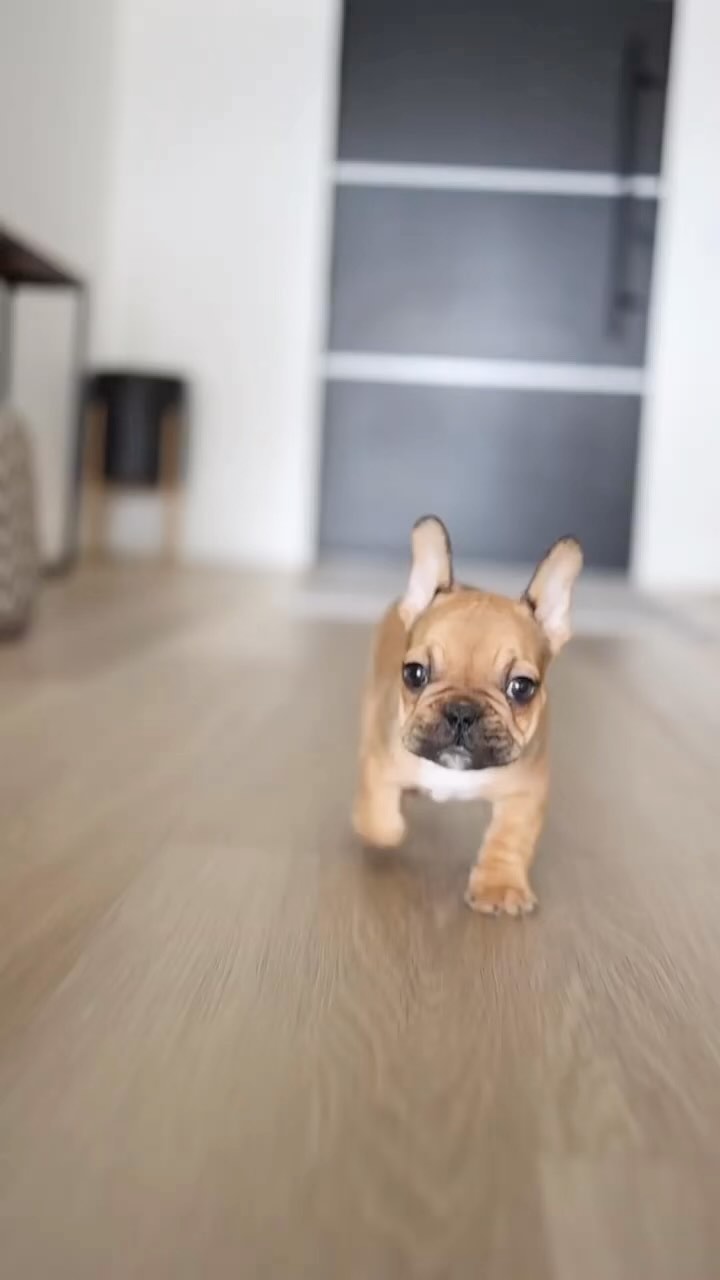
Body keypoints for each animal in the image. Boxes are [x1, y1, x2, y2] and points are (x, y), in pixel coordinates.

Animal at [353, 516, 582, 916]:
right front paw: (381, 826)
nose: (462, 711)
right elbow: (381, 817)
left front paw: (499, 886)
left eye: (521, 687)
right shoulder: (380, 758)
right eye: (414, 673)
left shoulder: (525, 791)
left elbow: (509, 840)